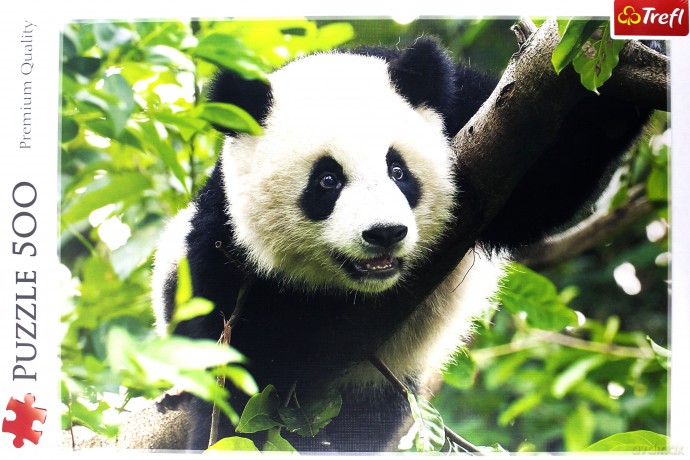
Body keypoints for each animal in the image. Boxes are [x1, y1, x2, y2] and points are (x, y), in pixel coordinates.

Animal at [151, 37, 652, 452]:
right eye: (327, 181)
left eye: (398, 170)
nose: (384, 233)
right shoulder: (222, 249)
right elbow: (243, 371)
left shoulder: (470, 114)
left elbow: (545, 185)